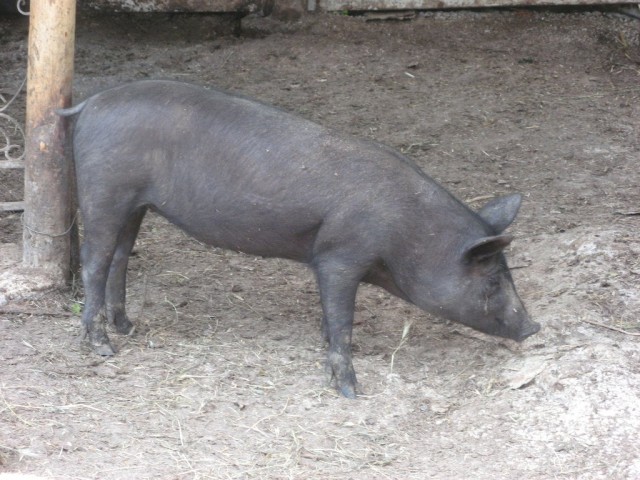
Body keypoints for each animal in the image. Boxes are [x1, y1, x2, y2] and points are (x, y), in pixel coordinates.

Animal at [58, 80, 540, 398]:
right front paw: (350, 390)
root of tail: (89, 103)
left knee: (121, 256)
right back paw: (104, 348)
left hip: (135, 203)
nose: (534, 327)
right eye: (492, 280)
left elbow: (332, 318)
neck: (410, 234)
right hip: (105, 189)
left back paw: (129, 327)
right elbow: (341, 317)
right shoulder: (339, 256)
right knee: (95, 259)